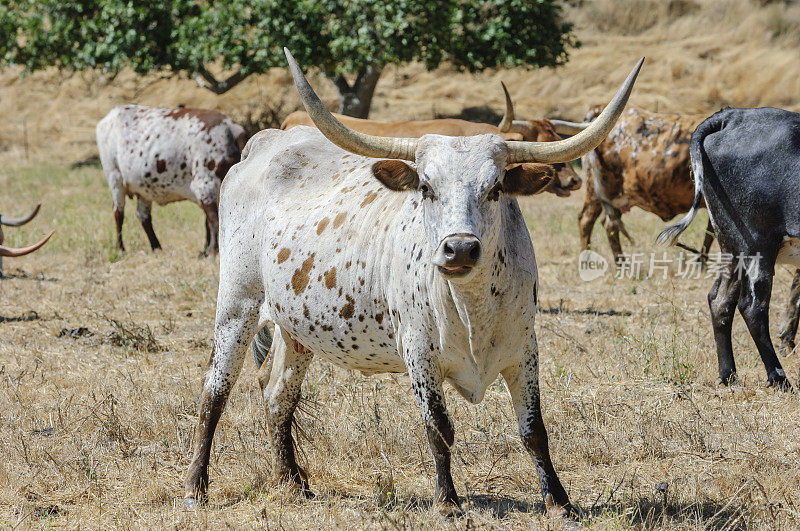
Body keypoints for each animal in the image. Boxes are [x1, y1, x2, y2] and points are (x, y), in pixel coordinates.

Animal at [94, 106, 245, 256]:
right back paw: (120, 248)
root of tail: (113, 113)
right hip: (114, 178)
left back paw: (156, 247)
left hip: (143, 189)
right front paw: (212, 251)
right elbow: (214, 220)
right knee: (118, 213)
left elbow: (209, 221)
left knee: (144, 216)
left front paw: (206, 251)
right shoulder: (205, 186)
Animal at [656, 107, 800, 390]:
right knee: (752, 307)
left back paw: (728, 374)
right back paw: (779, 378)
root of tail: (733, 115)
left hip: (732, 245)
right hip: (757, 244)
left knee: (720, 300)